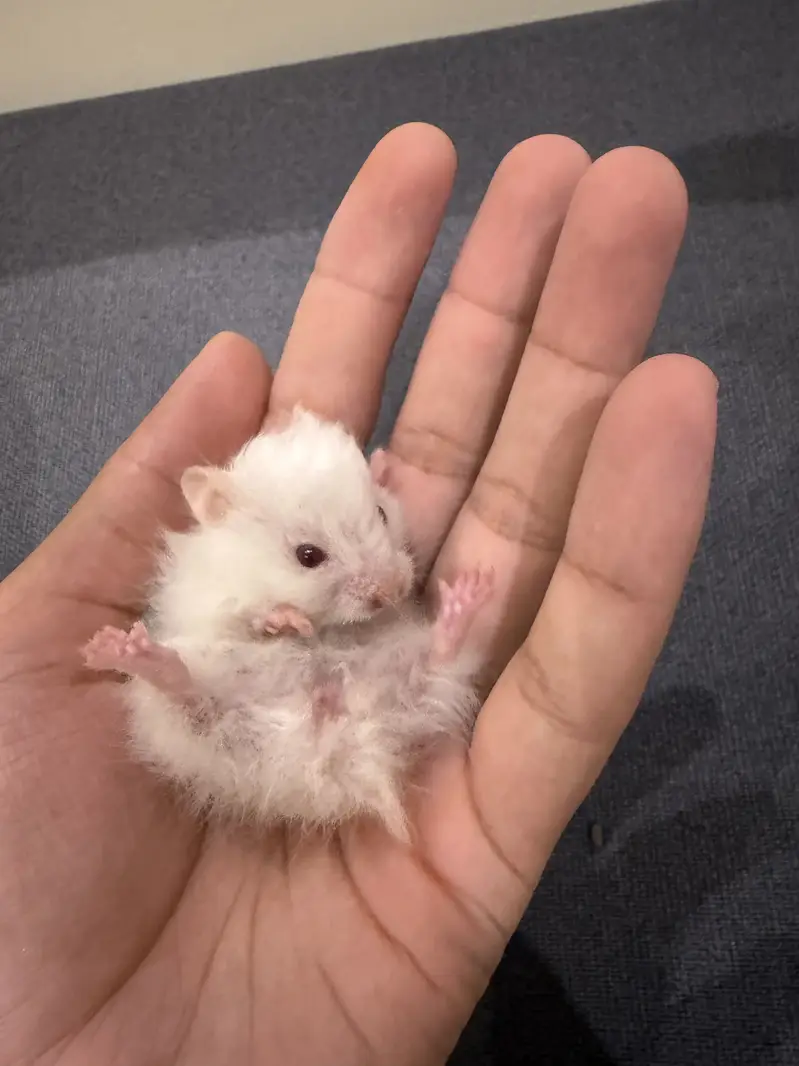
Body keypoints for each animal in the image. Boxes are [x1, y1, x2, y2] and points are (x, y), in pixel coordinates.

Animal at [82, 406, 493, 841]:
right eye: (308, 555)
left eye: (382, 514)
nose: (395, 590)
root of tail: (333, 743)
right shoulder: (212, 601)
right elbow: (251, 616)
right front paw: (288, 622)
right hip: (192, 713)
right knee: (184, 692)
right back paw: (120, 650)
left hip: (414, 679)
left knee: (439, 658)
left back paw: (469, 596)